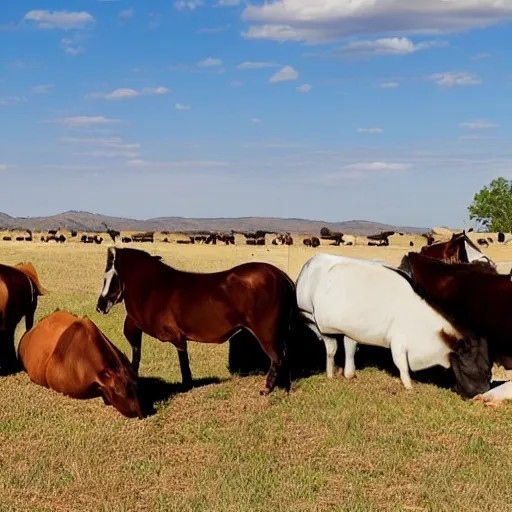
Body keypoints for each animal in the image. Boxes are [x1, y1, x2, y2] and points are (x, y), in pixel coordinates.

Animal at [96, 246, 298, 394]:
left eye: (111, 278)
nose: (100, 305)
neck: (153, 288)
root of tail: (280, 275)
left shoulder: (175, 336)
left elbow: (183, 363)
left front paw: (186, 386)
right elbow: (137, 348)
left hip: (267, 332)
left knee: (278, 357)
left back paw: (268, 388)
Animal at [298, 254, 490, 398]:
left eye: (489, 368)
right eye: (468, 365)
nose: (483, 391)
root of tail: (311, 262)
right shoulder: (398, 342)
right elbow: (402, 365)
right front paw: (409, 386)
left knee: (348, 347)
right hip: (311, 317)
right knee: (331, 348)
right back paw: (331, 373)